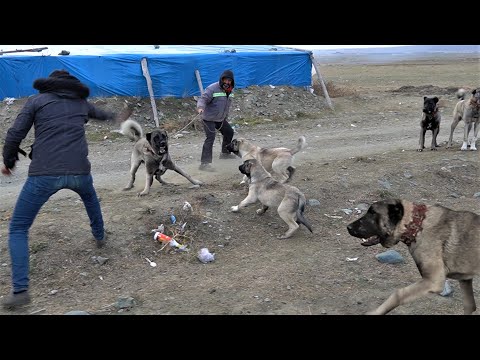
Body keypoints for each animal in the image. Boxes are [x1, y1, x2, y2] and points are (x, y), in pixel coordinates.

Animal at [346, 198, 480, 314]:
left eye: (373, 213)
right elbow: (470, 305)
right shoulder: (465, 280)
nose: (348, 227)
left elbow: (398, 294)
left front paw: (375, 312)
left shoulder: (433, 280)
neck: (417, 225)